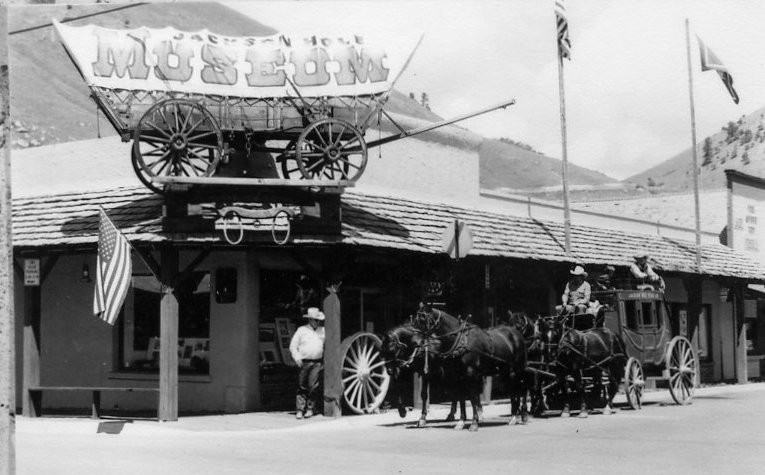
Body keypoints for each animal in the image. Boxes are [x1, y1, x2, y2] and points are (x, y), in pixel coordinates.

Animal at [412, 304, 524, 432]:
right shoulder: (459, 375)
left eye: (423, 320)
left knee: (518, 389)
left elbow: (473, 397)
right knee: (512, 390)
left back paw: (516, 417)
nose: (414, 342)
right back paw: (515, 415)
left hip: (516, 370)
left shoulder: (471, 374)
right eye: (414, 320)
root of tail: (516, 332)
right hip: (505, 371)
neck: (461, 341)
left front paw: (474, 423)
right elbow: (462, 397)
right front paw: (461, 422)